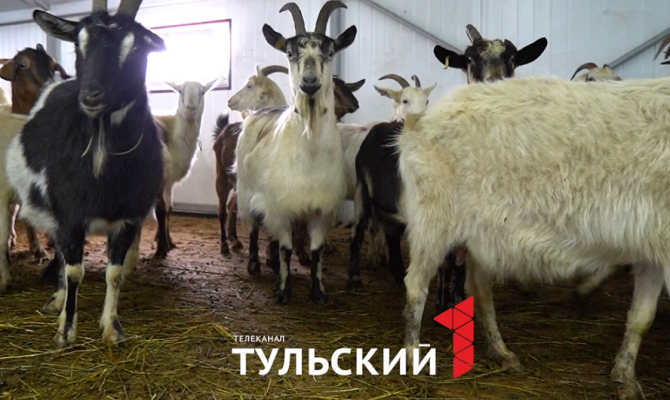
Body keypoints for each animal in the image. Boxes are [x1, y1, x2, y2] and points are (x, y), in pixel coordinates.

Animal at [5, 0, 166, 347]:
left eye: (136, 47)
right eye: (78, 44)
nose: (92, 95)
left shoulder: (129, 218)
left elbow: (114, 273)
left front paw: (112, 327)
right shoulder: (69, 215)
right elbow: (75, 271)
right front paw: (66, 331)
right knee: (64, 258)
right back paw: (58, 301)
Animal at [152, 79, 217, 259]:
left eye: (202, 92)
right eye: (180, 91)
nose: (190, 108)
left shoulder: (169, 182)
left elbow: (169, 209)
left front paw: (169, 242)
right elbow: (160, 210)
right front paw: (161, 249)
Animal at [235, 0, 356, 303]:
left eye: (331, 51)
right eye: (289, 52)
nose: (309, 82)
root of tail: (256, 112)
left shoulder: (322, 211)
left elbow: (316, 250)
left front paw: (318, 291)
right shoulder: (278, 207)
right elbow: (286, 248)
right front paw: (283, 291)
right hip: (245, 190)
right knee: (254, 228)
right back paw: (255, 265)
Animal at [397, 76, 670, 400]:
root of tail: (421, 120)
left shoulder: (652, 248)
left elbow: (642, 318)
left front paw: (625, 376)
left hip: (480, 234)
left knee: (479, 289)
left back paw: (502, 352)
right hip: (433, 220)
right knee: (416, 285)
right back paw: (412, 355)